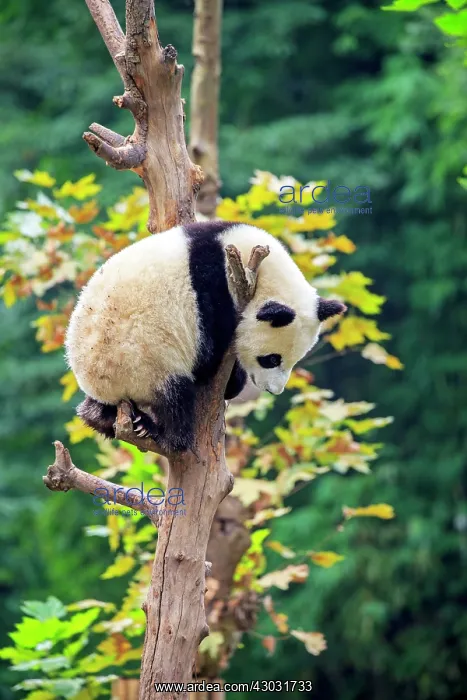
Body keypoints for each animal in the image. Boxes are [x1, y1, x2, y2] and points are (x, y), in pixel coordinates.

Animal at [65, 221, 346, 453]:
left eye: (293, 361)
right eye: (271, 359)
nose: (273, 390)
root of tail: (107, 389)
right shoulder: (212, 291)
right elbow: (209, 358)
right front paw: (233, 380)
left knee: (96, 410)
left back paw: (107, 418)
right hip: (143, 361)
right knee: (175, 396)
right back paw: (162, 434)